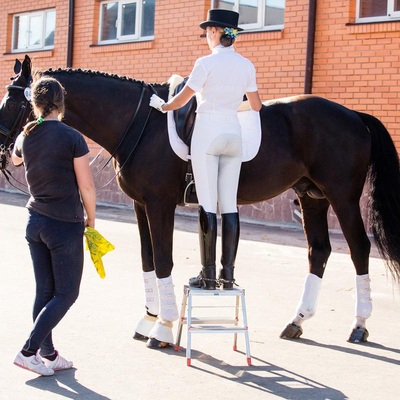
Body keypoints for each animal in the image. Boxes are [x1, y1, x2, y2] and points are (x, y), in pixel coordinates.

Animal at [0, 54, 400, 346]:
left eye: (12, 102)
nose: (5, 152)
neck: (140, 124)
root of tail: (353, 115)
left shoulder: (159, 205)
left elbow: (163, 261)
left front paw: (162, 328)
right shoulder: (141, 205)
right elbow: (148, 261)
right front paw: (149, 319)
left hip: (342, 197)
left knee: (359, 249)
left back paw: (360, 324)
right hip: (311, 197)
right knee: (319, 251)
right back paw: (297, 321)